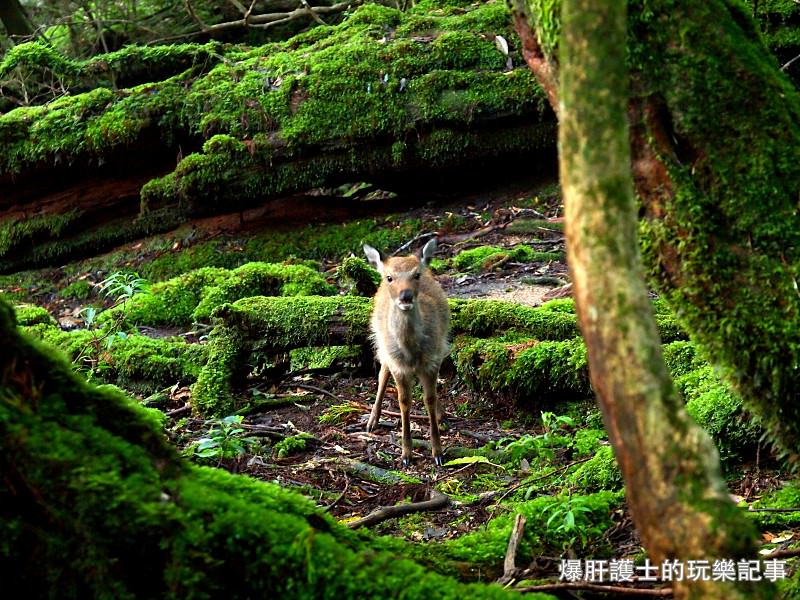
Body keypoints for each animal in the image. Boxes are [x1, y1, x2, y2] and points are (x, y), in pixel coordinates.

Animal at [362, 237, 450, 466]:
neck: (412, 352)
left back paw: (441, 413)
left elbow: (429, 398)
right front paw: (406, 454)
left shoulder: (433, 360)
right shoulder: (398, 366)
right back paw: (372, 421)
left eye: (416, 275)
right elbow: (404, 402)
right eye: (389, 277)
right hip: (381, 341)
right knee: (382, 372)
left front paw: (437, 452)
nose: (406, 296)